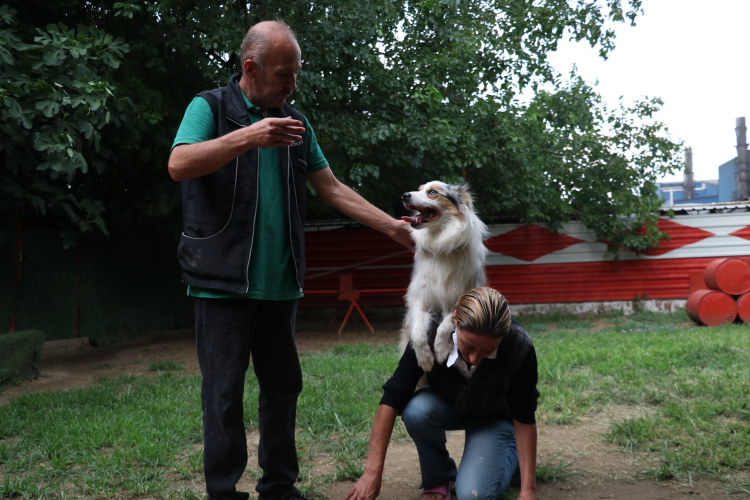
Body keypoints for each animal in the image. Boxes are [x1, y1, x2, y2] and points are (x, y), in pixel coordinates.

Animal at [400, 181, 488, 372]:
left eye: (433, 192)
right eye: (419, 189)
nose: (404, 195)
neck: (440, 245)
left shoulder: (460, 299)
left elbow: (445, 325)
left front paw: (440, 351)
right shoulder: (419, 299)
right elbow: (417, 331)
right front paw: (424, 358)